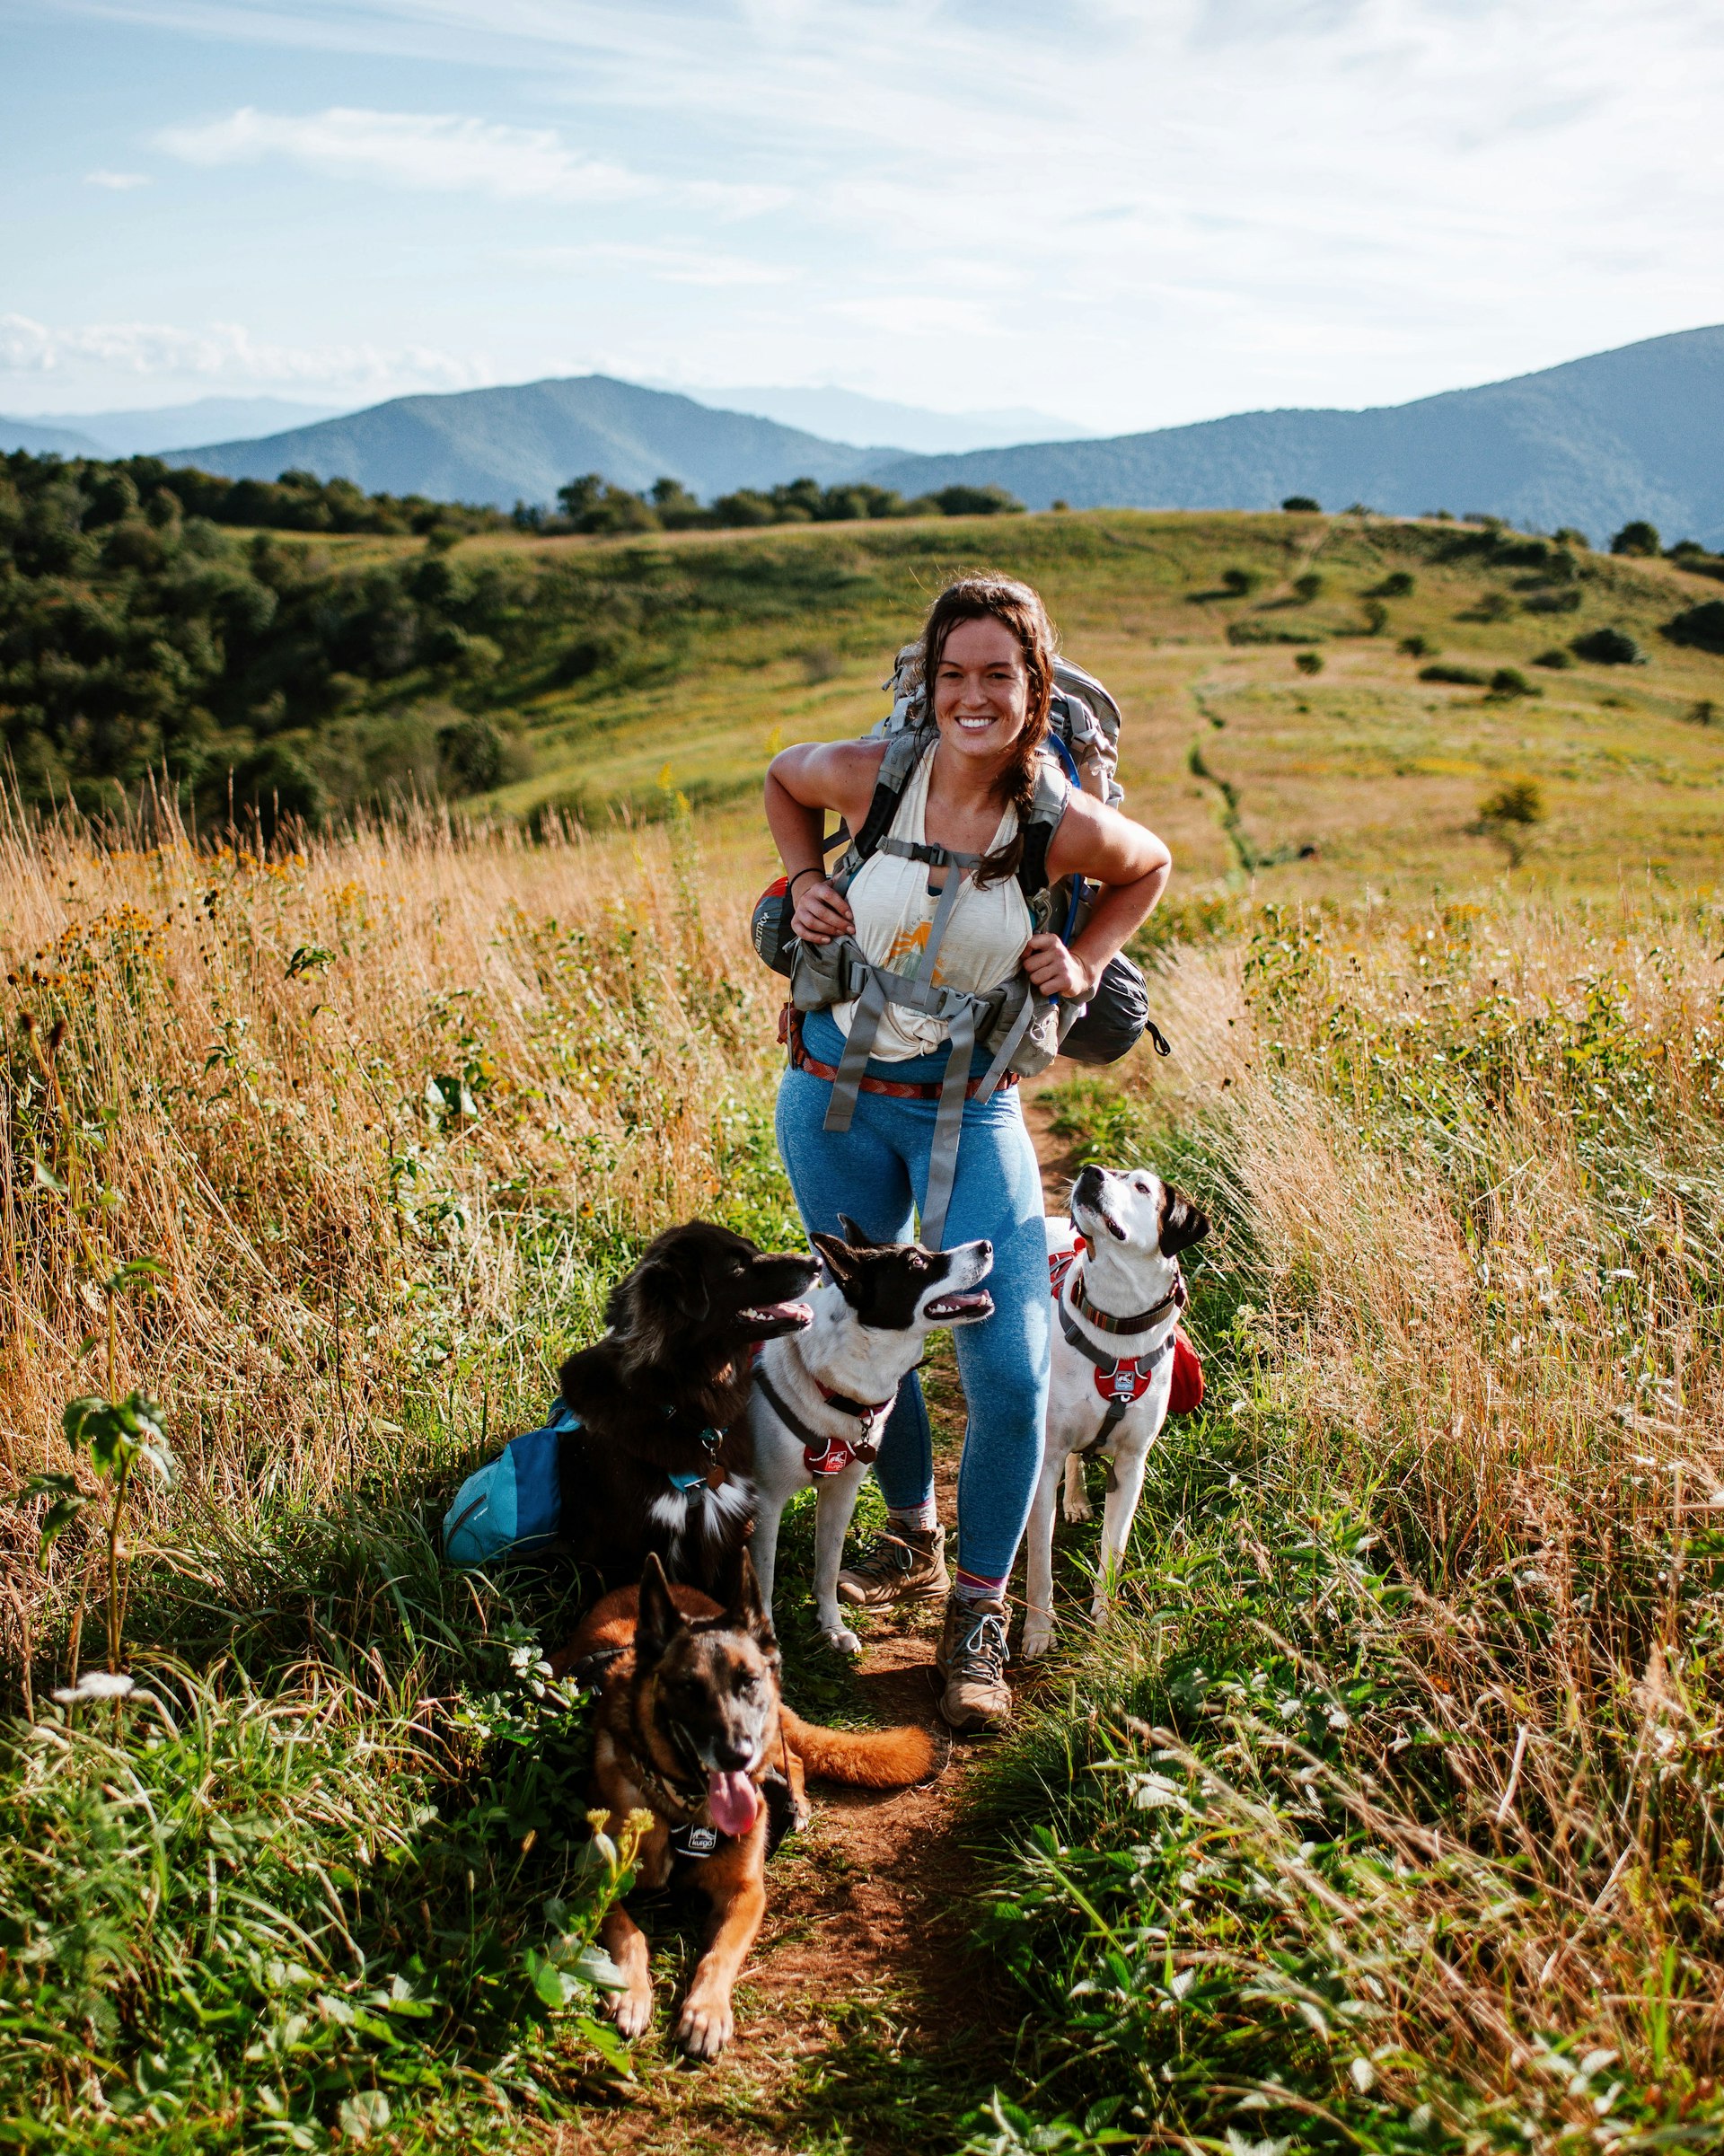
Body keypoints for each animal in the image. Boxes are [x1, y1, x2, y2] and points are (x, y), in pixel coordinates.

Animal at [560, 1552, 944, 2052]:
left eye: (747, 1681)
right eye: (689, 1688)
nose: (735, 1754)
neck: (686, 1809)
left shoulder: (746, 1892)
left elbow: (718, 1954)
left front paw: (706, 2011)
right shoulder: (595, 1881)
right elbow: (629, 1933)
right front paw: (632, 1991)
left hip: (773, 1736)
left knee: (794, 1758)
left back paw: (796, 1805)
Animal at [745, 1224, 995, 1655]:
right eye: (916, 1263)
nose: (987, 1245)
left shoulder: (840, 1494)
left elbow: (827, 1569)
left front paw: (832, 1627)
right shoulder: (768, 1502)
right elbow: (764, 1580)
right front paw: (767, 1643)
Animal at [1025, 1173, 1215, 1655]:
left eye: (1142, 1188)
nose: (1091, 1171)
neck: (1118, 1313)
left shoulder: (1131, 1467)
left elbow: (1114, 1550)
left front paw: (1106, 1619)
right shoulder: (1046, 1458)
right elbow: (1039, 1558)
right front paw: (1038, 1629)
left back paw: (1076, 1500)